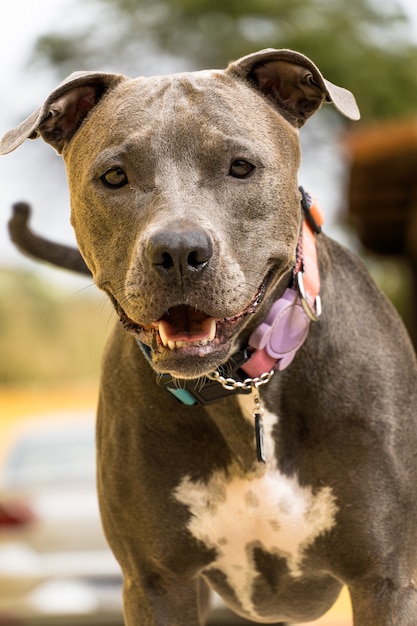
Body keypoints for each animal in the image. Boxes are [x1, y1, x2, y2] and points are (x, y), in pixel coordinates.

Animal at [2, 50, 416, 624]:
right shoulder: (158, 583)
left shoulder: (386, 579)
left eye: (240, 166)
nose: (178, 251)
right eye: (114, 176)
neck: (242, 385)